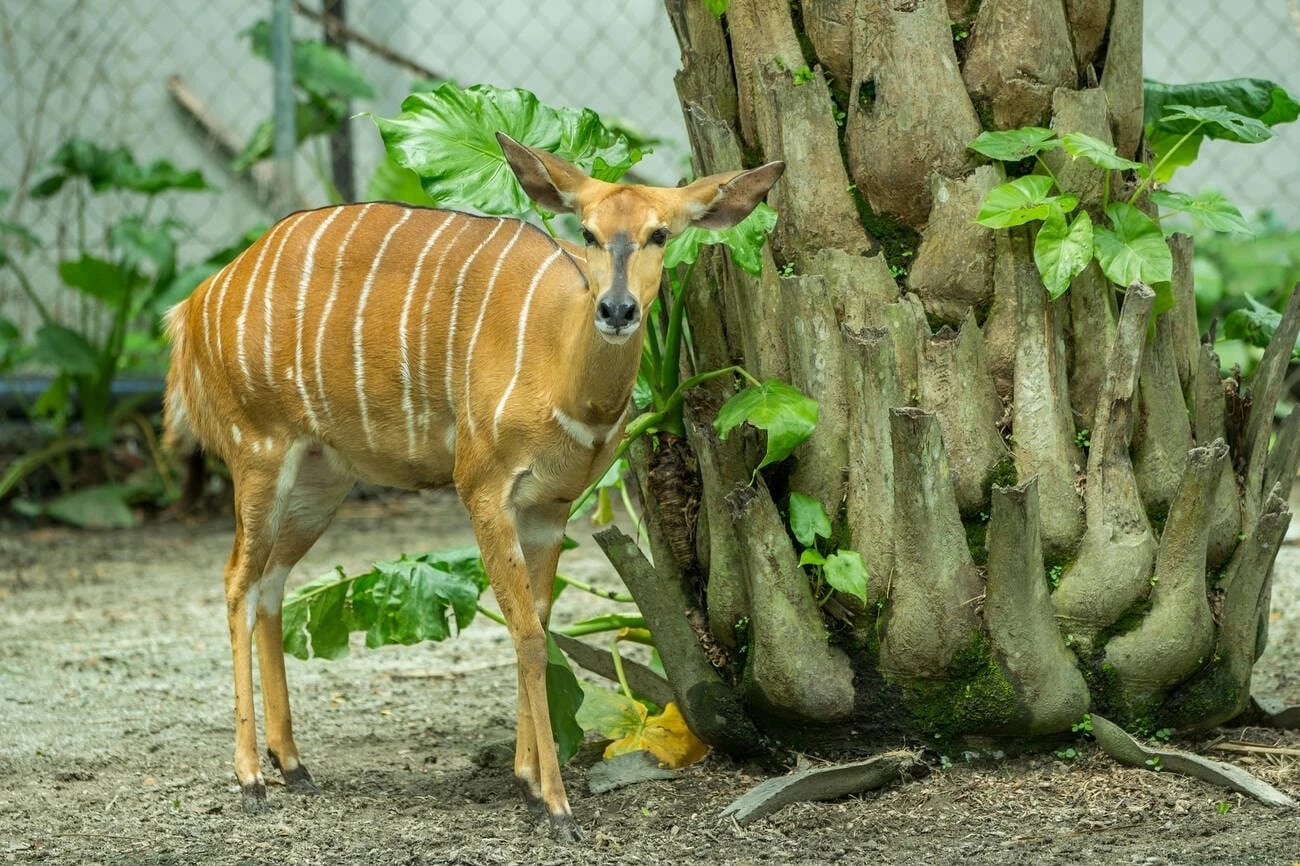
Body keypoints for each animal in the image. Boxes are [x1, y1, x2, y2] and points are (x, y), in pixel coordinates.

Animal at [162, 132, 783, 841]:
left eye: (660, 233)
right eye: (588, 232)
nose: (619, 310)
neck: (561, 370)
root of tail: (194, 304)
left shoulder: (550, 507)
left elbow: (538, 627)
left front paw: (527, 783)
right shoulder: (482, 487)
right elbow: (530, 636)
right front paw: (556, 806)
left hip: (322, 477)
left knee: (271, 583)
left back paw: (293, 765)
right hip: (259, 452)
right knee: (237, 580)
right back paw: (250, 779)